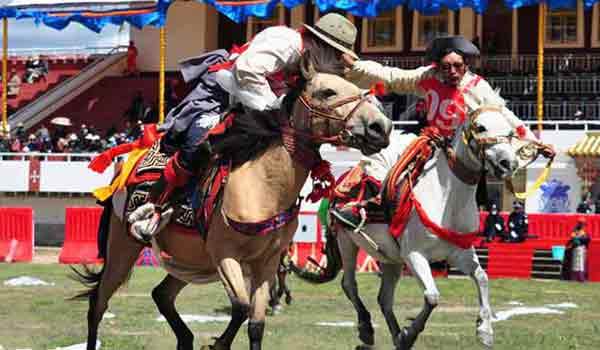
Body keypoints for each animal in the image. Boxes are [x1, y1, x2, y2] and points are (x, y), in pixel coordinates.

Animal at [72, 52, 392, 350]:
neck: (263, 185)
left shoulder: (266, 262)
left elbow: (256, 323)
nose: (381, 127)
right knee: (98, 304)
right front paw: (218, 343)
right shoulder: (225, 255)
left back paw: (186, 338)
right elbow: (240, 306)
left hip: (191, 260)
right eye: (328, 92)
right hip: (123, 247)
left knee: (161, 295)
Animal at [292, 105, 552, 348]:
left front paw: (485, 330)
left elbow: (482, 278)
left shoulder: (459, 253)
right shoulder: (415, 255)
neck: (447, 199)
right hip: (347, 242)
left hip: (391, 259)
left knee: (384, 298)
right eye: (480, 127)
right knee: (349, 285)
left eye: (509, 131)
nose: (508, 163)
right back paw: (367, 328)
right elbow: (432, 296)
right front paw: (411, 332)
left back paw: (397, 336)